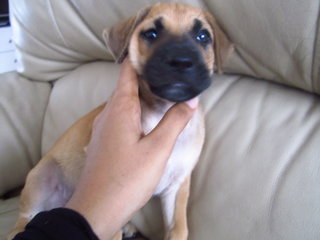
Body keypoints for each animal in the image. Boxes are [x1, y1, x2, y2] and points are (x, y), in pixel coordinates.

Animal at [7, 2, 232, 240]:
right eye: (151, 34)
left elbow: (178, 229)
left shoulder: (177, 186)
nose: (181, 61)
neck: (161, 111)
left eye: (203, 36)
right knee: (22, 221)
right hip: (41, 176)